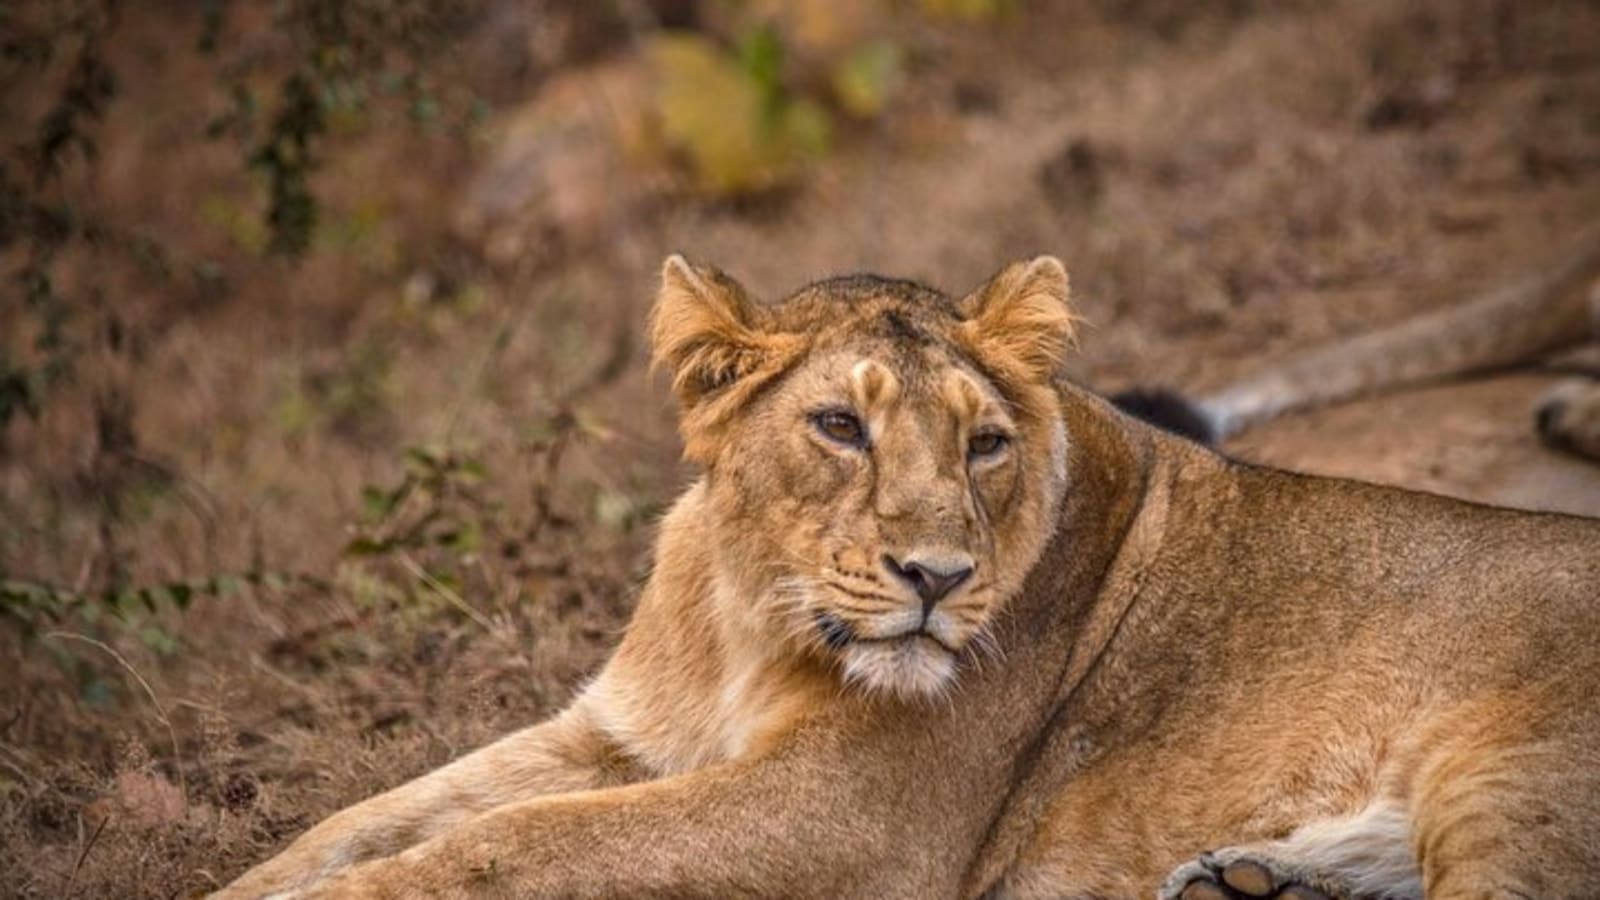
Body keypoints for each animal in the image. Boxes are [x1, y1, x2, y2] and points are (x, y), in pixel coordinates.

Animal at [219, 255, 1600, 900]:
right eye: (840, 426)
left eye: (984, 442)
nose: (935, 576)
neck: (749, 615)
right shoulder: (614, 735)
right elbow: (374, 814)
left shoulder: (850, 819)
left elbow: (517, 842)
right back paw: (1250, 884)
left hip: (1507, 785)